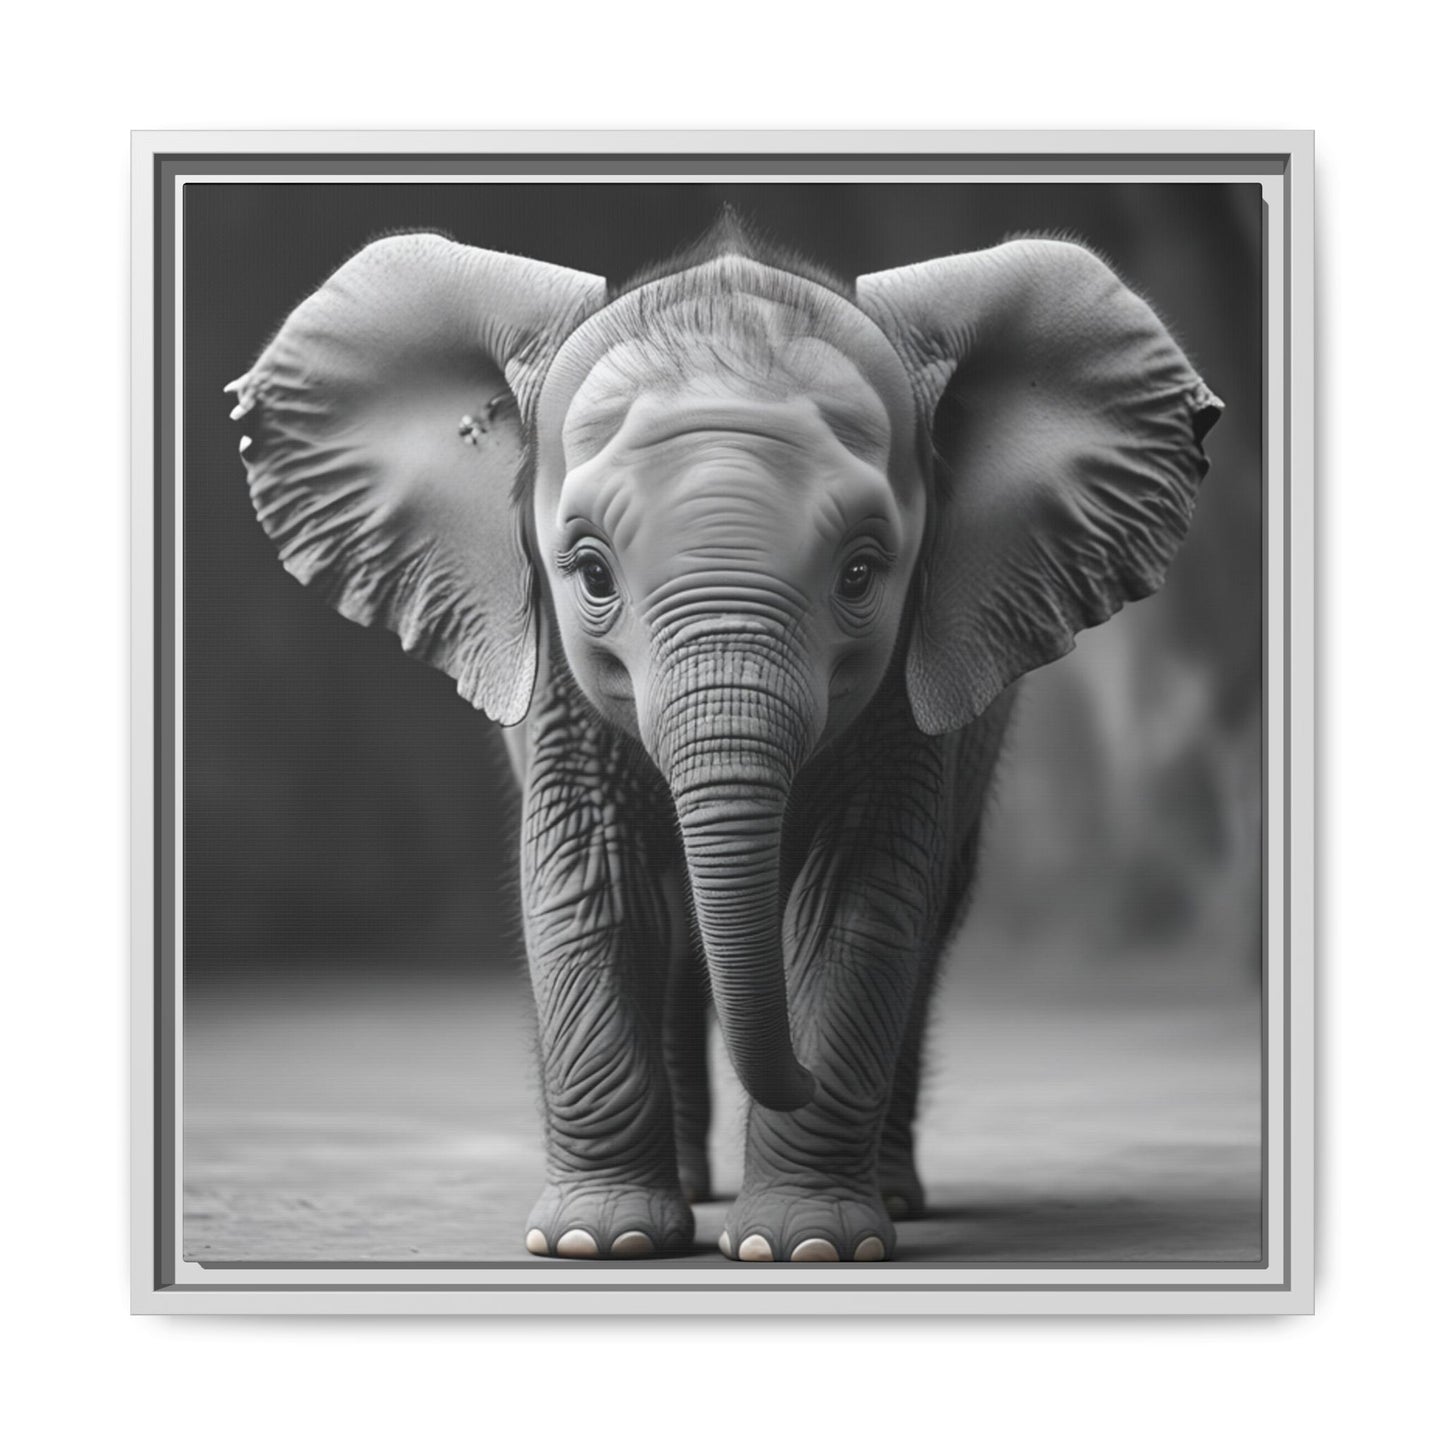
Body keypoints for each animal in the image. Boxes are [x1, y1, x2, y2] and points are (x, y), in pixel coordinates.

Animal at [228, 213, 1221, 1263]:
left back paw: (889, 1194)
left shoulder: (908, 681)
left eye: (862, 573)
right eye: (590, 571)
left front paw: (807, 1246)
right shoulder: (556, 682)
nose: (794, 1080)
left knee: (922, 923)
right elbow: (594, 881)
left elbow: (858, 899)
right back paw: (690, 1194)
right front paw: (597, 1242)